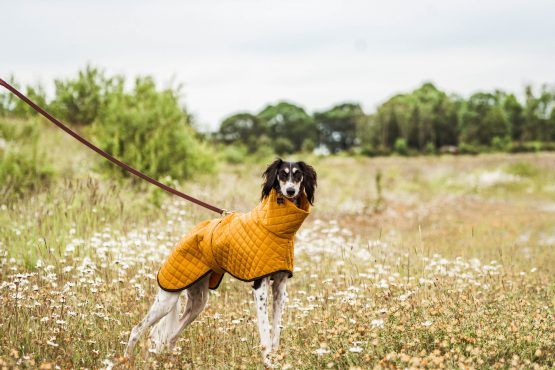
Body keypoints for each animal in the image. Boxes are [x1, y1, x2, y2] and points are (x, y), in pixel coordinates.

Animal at [126, 159, 318, 368]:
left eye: (298, 175)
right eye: (282, 174)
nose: (290, 191)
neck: (276, 228)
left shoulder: (280, 287)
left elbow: (275, 330)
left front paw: (276, 360)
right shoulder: (260, 287)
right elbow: (265, 331)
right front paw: (267, 361)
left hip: (198, 301)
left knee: (167, 337)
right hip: (167, 298)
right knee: (137, 330)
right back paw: (127, 359)